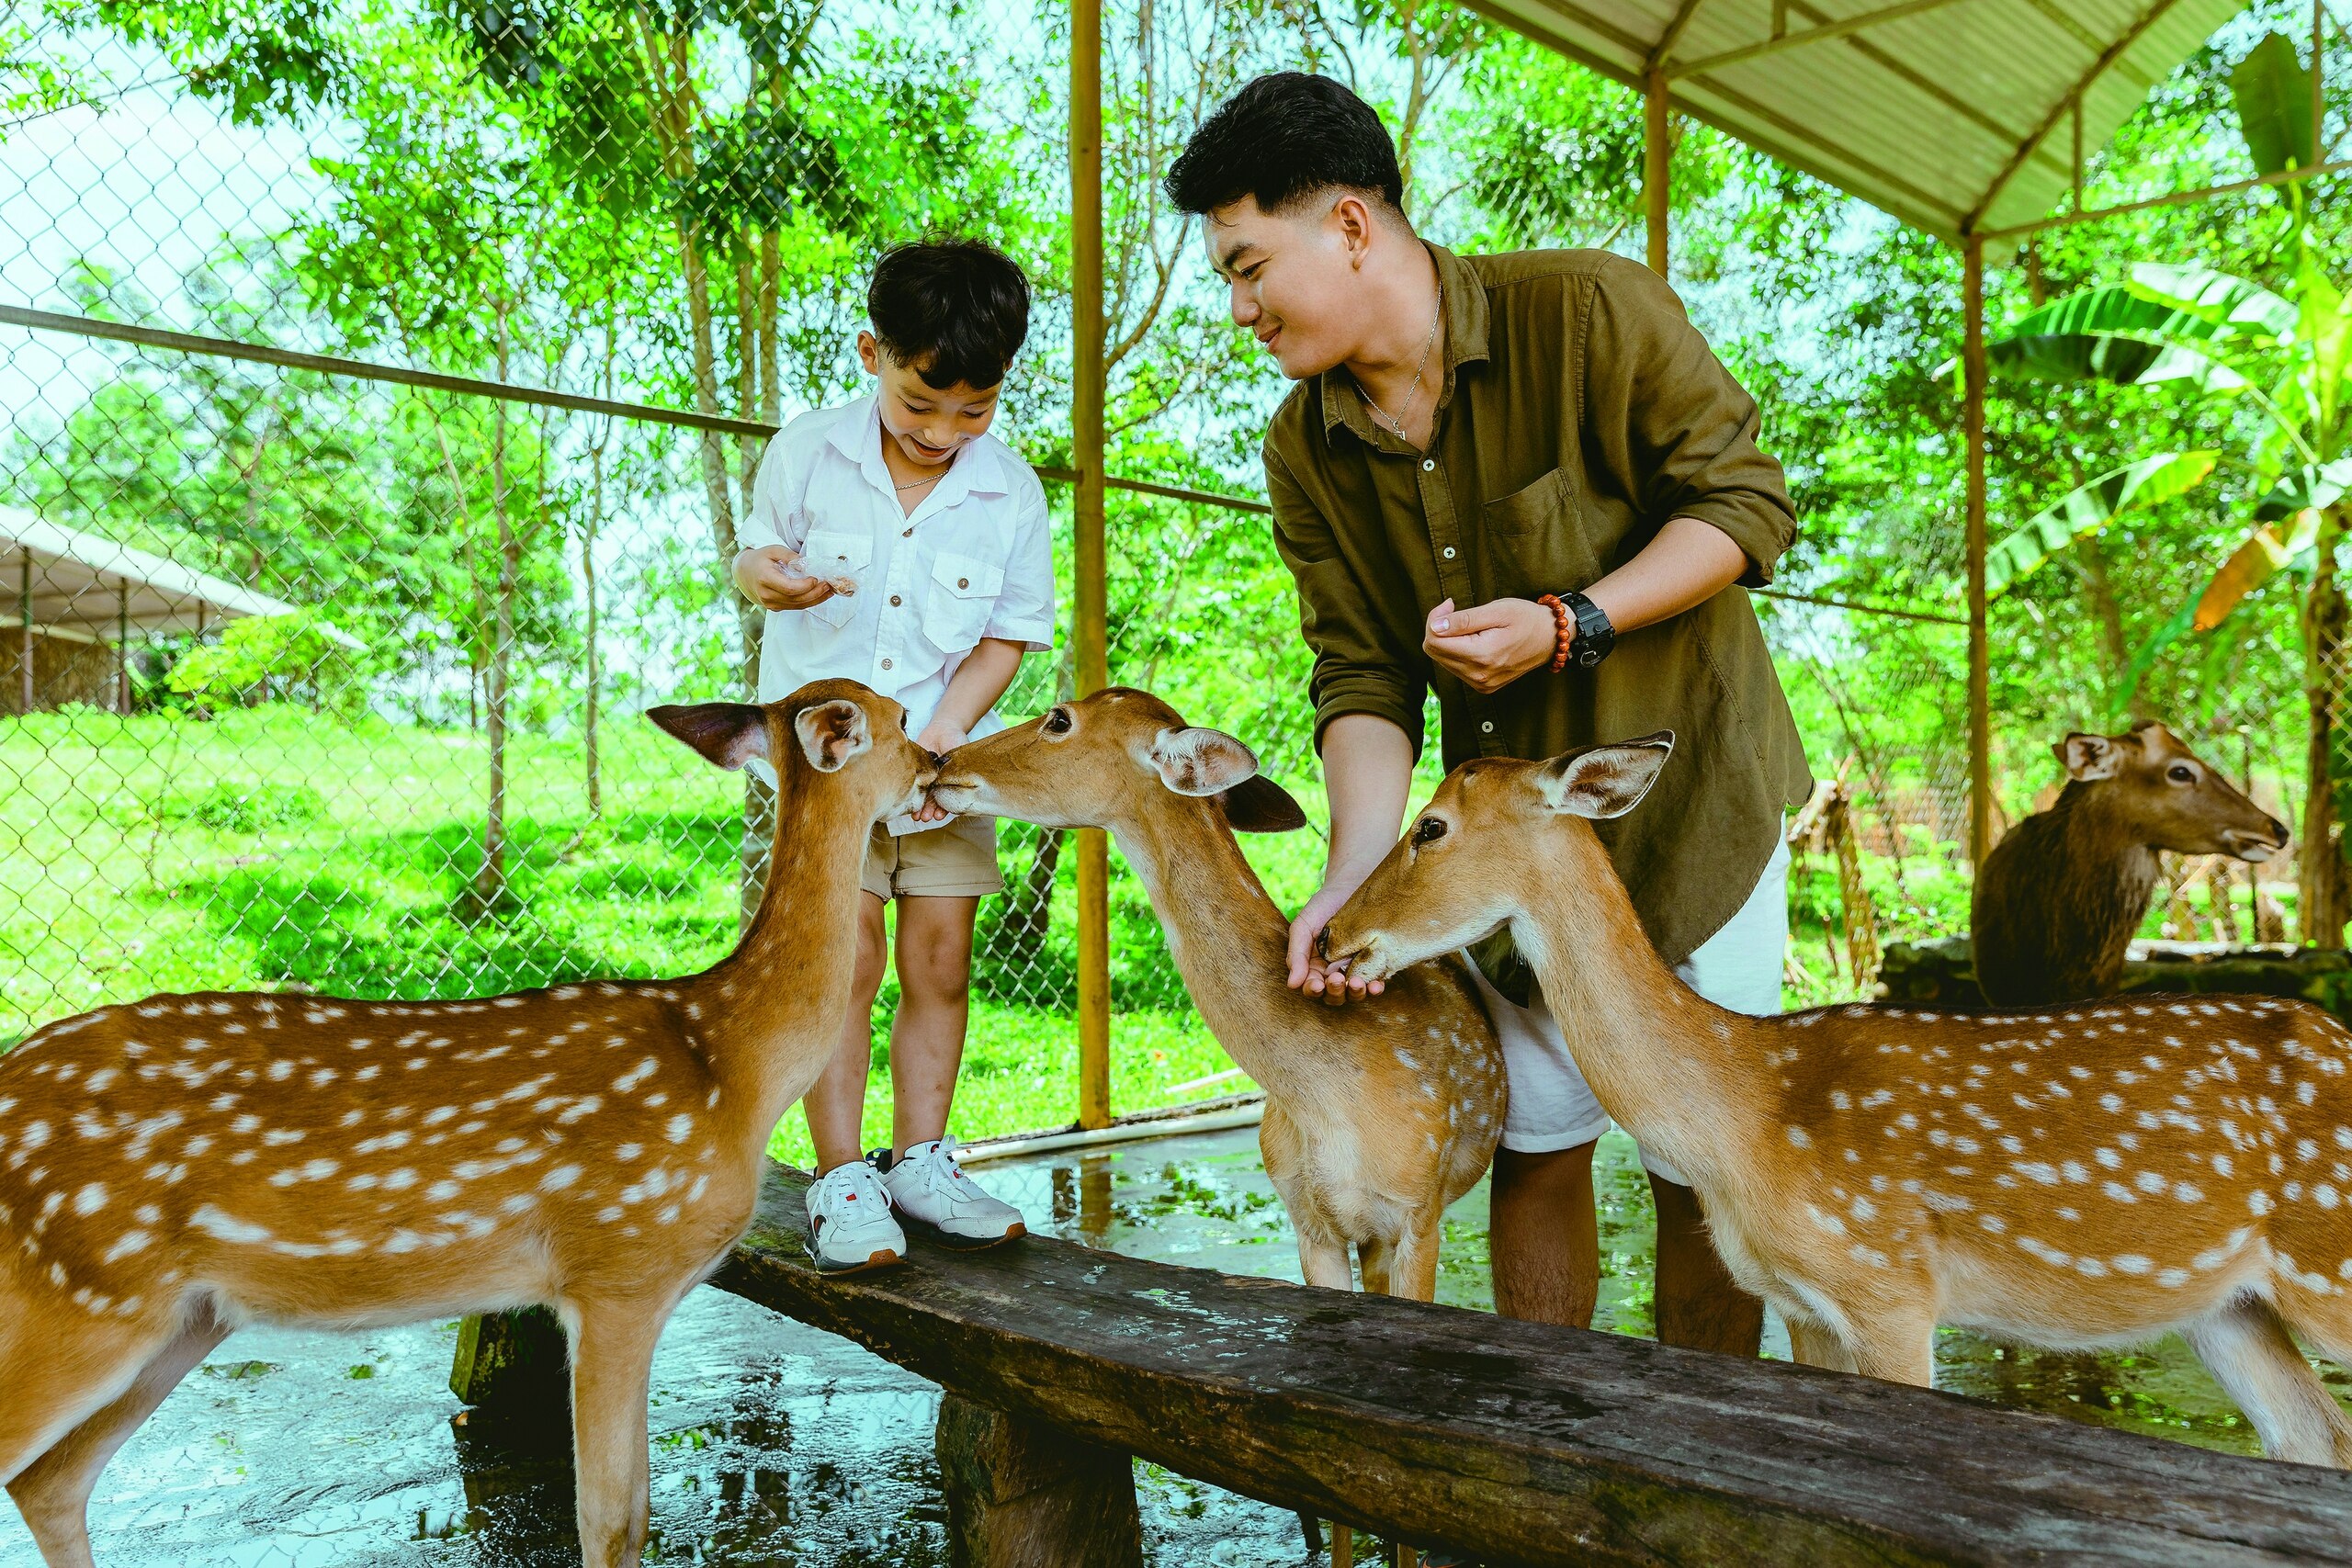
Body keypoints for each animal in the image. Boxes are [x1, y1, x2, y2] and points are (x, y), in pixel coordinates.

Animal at [0, 677, 935, 1568]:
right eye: (901, 717)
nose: (934, 762)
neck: (731, 1063)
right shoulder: (618, 1269)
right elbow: (612, 1520)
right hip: (76, 1298)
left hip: (184, 1318)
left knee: (52, 1481)